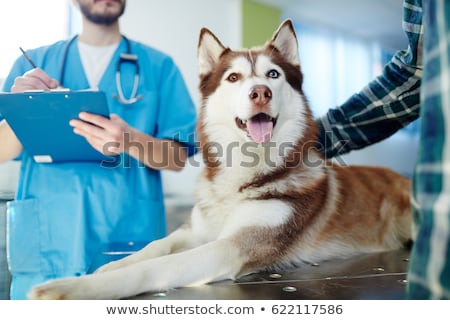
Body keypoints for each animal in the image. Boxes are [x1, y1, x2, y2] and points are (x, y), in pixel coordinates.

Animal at [28, 19, 412, 300]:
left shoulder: (234, 246)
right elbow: (155, 246)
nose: (260, 92)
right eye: (233, 77)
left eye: (273, 75)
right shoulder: (197, 231)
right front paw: (111, 267)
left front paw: (73, 287)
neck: (244, 174)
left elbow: (157, 267)